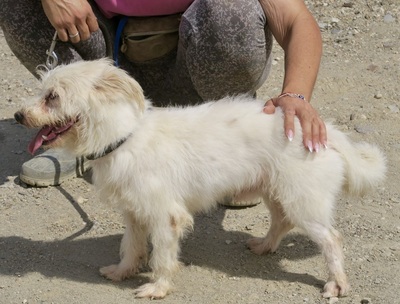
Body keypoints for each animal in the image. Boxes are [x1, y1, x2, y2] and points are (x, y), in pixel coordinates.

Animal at [14, 58, 386, 300]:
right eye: (42, 92)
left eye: (53, 97)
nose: (18, 116)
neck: (124, 137)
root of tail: (328, 132)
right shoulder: (134, 213)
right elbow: (131, 246)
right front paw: (123, 272)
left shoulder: (166, 216)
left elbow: (163, 257)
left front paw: (158, 287)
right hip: (276, 192)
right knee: (281, 222)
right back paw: (264, 246)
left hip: (303, 201)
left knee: (332, 239)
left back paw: (336, 284)